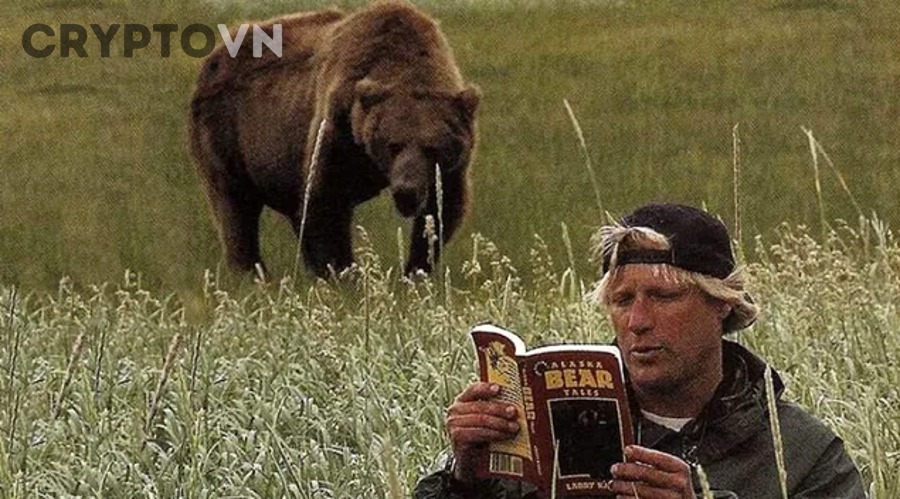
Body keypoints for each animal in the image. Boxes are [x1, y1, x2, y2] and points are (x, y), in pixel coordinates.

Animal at [188, 1, 480, 279]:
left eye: (433, 148)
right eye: (393, 145)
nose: (406, 191)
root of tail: (214, 55)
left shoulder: (452, 165)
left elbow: (442, 209)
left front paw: (415, 271)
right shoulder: (338, 128)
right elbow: (326, 204)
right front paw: (344, 273)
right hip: (227, 132)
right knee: (236, 208)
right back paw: (253, 274)